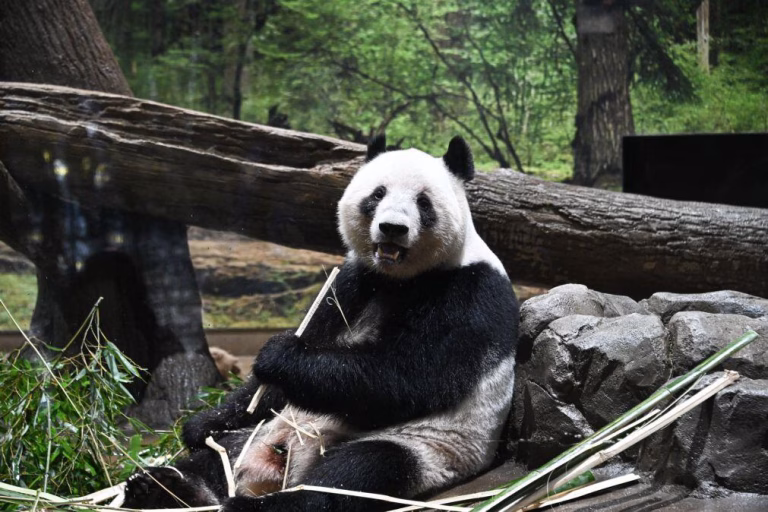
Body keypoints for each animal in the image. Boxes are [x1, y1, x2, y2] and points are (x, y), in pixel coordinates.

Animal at [122, 135, 519, 511]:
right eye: (377, 194)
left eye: (424, 202)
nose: (392, 228)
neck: (399, 279)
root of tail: (278, 468)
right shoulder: (352, 282)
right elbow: (274, 384)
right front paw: (199, 425)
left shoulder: (467, 293)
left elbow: (409, 377)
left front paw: (279, 355)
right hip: (262, 432)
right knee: (219, 457)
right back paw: (166, 488)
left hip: (427, 448)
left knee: (356, 473)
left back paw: (259, 506)